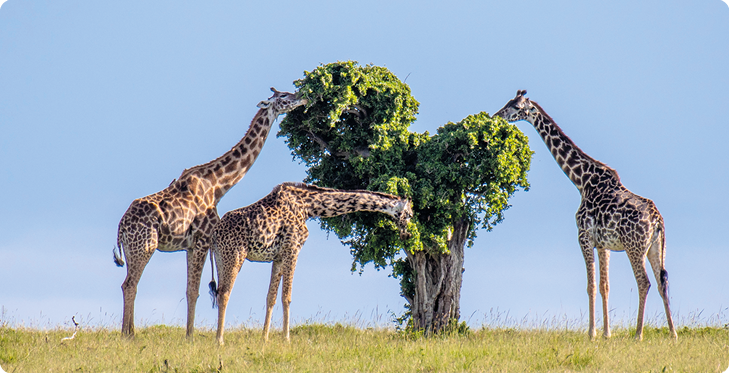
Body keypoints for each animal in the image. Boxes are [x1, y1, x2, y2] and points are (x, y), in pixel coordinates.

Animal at [112, 87, 306, 338]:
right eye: (283, 98)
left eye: (288, 93)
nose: (302, 97)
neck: (218, 185)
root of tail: (120, 228)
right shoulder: (203, 240)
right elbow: (194, 291)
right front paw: (190, 337)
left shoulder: (190, 245)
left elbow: (189, 290)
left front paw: (190, 335)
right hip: (144, 246)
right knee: (130, 285)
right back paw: (129, 336)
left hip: (134, 249)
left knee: (129, 284)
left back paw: (129, 333)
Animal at [210, 182, 416, 344]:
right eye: (409, 215)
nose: (408, 235)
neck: (309, 207)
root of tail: (214, 234)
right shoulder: (293, 249)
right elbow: (287, 296)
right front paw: (286, 339)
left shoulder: (278, 257)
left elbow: (271, 297)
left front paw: (264, 339)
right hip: (234, 255)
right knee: (225, 293)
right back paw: (219, 340)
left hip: (221, 258)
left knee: (219, 292)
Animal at [494, 90, 676, 340]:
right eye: (509, 102)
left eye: (516, 106)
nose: (496, 116)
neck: (582, 181)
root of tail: (658, 221)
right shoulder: (603, 244)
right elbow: (604, 286)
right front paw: (607, 333)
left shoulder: (584, 237)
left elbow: (591, 285)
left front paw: (592, 333)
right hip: (656, 247)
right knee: (662, 282)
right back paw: (673, 334)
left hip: (635, 247)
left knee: (644, 282)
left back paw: (638, 334)